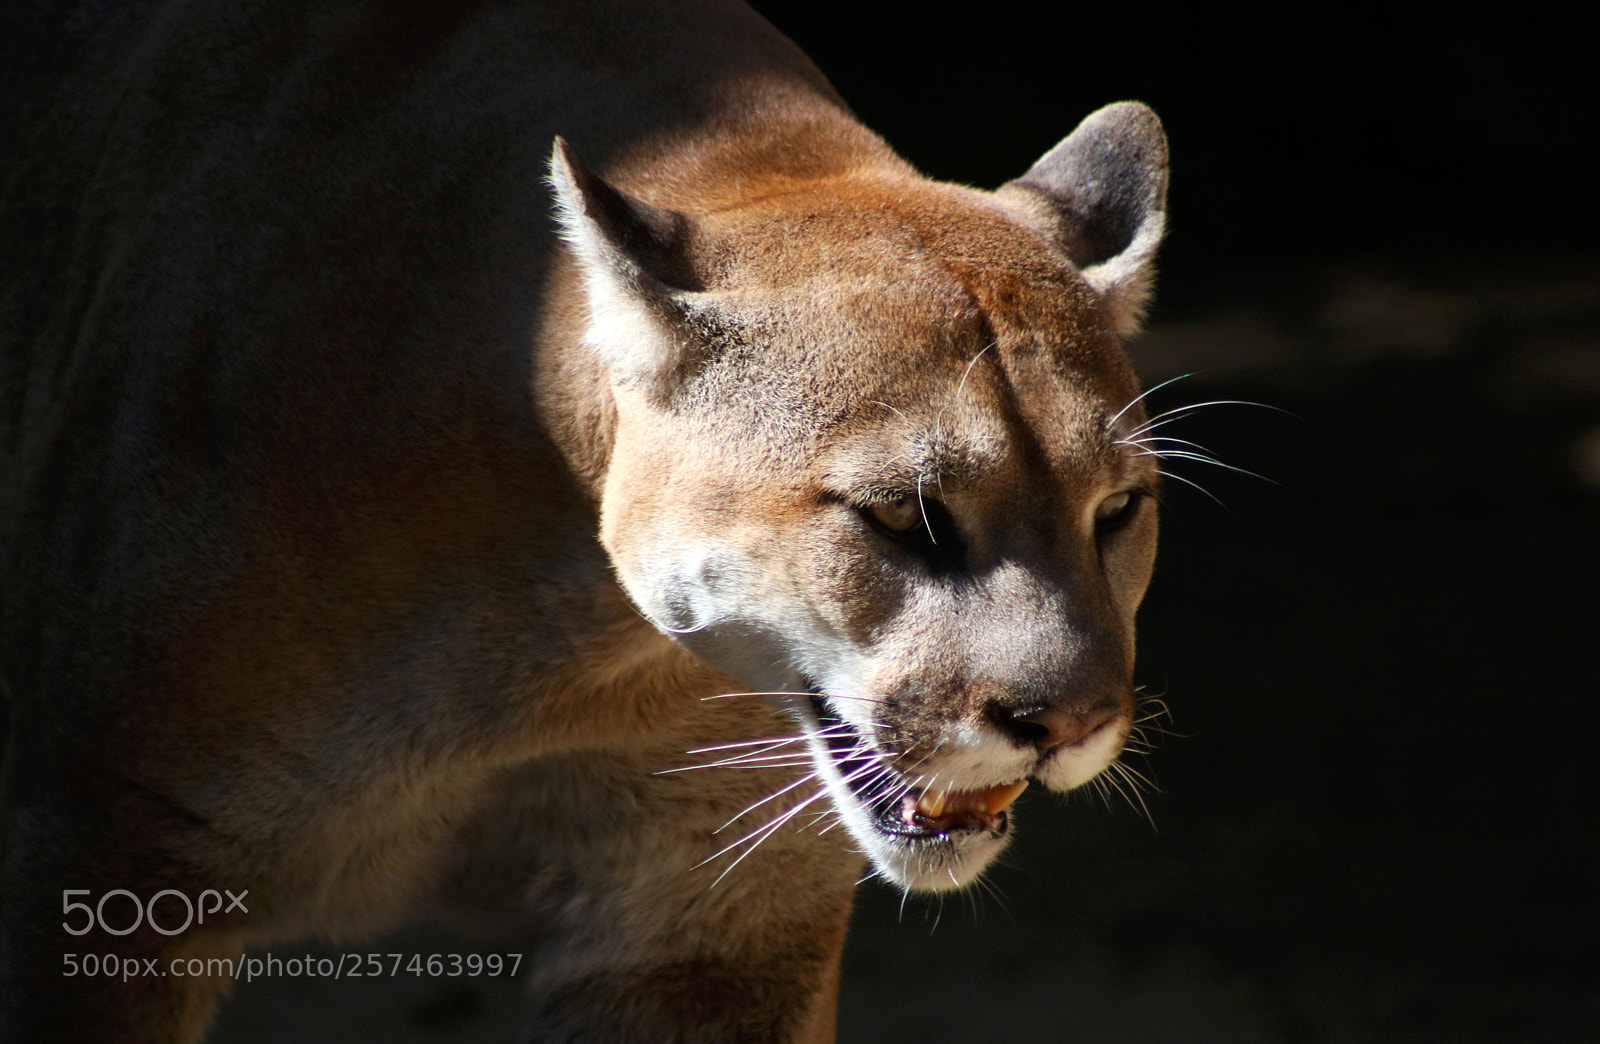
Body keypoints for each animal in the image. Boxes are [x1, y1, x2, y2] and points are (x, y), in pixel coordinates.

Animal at [0, 0, 1168, 1039]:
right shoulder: (113, 858)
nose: (1068, 726)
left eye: (1116, 510)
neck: (565, 655)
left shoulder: (708, 932)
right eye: (901, 516)